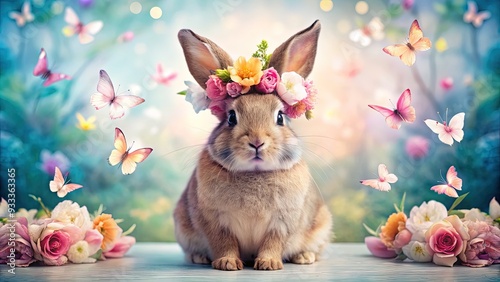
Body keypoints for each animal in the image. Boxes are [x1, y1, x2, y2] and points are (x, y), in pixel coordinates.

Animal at [174, 20, 334, 270]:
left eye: (280, 117)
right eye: (231, 117)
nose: (257, 142)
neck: (254, 173)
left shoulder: (282, 222)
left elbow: (273, 242)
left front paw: (269, 264)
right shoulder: (216, 221)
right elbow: (224, 242)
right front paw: (227, 263)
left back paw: (304, 257)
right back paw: (199, 258)